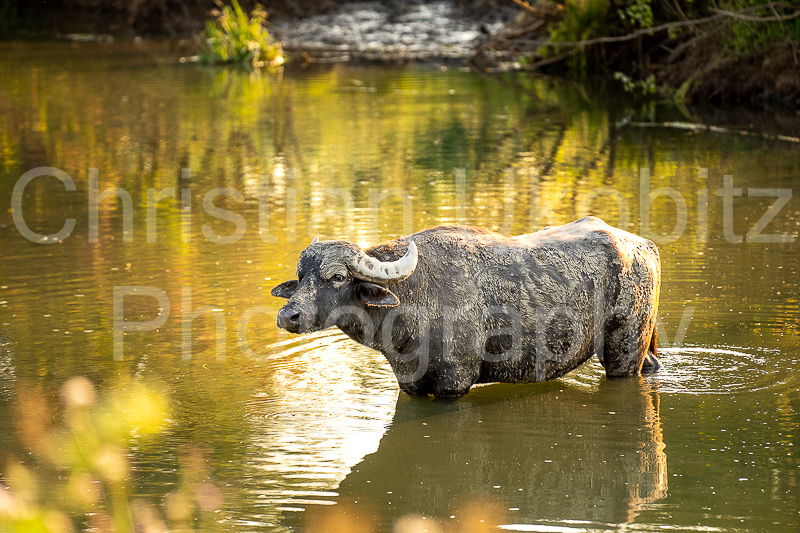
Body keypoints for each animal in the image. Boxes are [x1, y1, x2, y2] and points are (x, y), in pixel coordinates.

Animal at [272, 216, 661, 398]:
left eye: (337, 277)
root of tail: (642, 246)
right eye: (301, 276)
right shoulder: (410, 385)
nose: (288, 316)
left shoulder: (454, 382)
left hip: (625, 349)